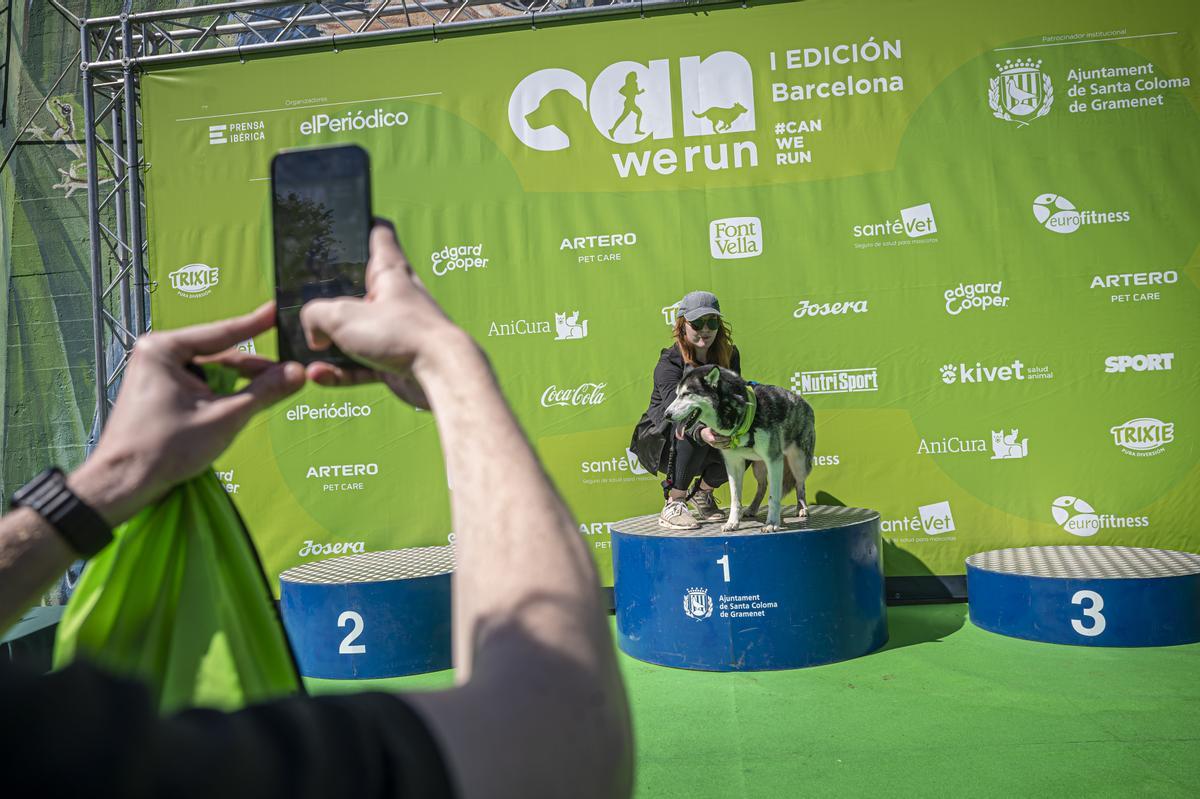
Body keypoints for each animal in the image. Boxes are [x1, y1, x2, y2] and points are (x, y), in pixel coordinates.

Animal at [667, 364, 816, 527]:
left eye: (687, 394)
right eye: (676, 394)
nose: (666, 415)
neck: (738, 412)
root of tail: (805, 403)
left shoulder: (774, 460)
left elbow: (774, 497)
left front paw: (772, 524)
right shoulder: (733, 463)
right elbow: (735, 498)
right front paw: (732, 523)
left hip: (798, 462)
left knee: (799, 484)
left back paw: (801, 507)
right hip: (759, 466)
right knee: (762, 486)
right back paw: (752, 508)